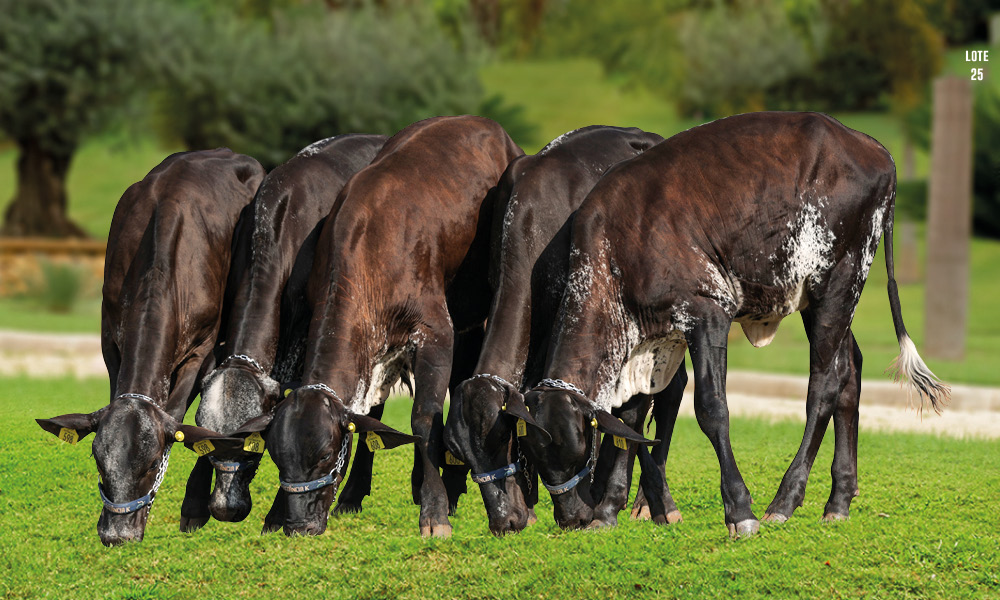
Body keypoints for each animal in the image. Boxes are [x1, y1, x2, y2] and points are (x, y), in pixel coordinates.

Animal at [36, 149, 265, 546]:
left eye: (154, 462)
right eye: (98, 461)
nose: (117, 535)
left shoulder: (203, 348)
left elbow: (182, 417)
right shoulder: (109, 337)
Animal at [206, 115, 524, 537]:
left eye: (325, 455)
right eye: (274, 455)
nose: (300, 524)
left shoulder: (436, 332)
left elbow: (424, 418)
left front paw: (434, 512)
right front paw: (276, 515)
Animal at [443, 125, 690, 534]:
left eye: (501, 437)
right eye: (462, 452)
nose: (503, 522)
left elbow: (629, 416)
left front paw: (608, 503)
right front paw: (533, 505)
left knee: (669, 394)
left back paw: (648, 502)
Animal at [516, 112, 950, 538]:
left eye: (574, 448)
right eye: (535, 453)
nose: (570, 517)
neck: (616, 251)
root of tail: (872, 147)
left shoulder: (708, 313)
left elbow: (711, 408)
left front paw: (740, 510)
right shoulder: (650, 343)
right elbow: (630, 419)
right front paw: (608, 511)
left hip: (840, 280)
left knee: (825, 385)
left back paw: (784, 501)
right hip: (819, 299)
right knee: (849, 371)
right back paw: (838, 500)